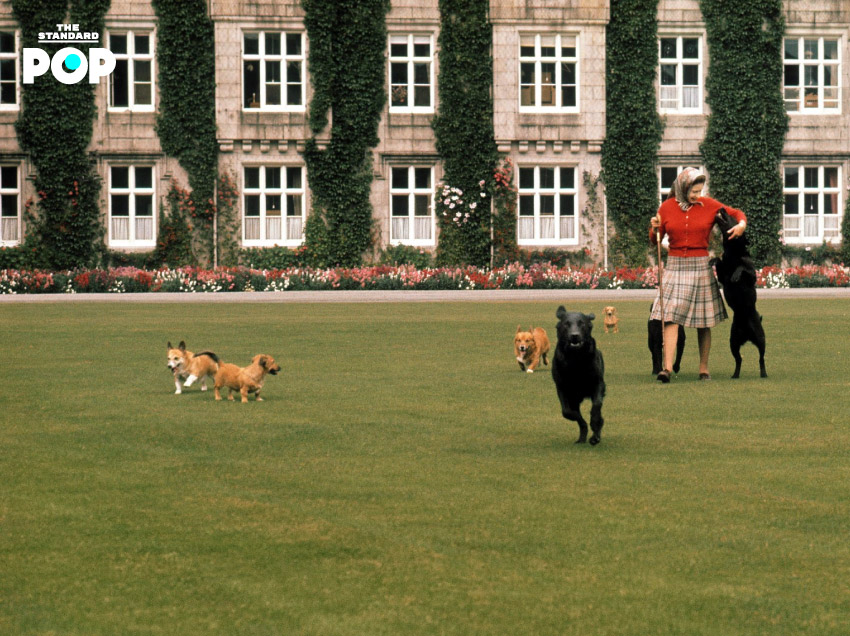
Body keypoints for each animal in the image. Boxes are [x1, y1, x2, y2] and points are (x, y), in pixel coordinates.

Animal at [548, 306, 604, 444]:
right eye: (566, 324)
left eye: (581, 323)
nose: (575, 336)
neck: (576, 359)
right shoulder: (562, 388)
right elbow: (568, 412)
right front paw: (581, 422)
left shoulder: (598, 383)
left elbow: (596, 406)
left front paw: (595, 427)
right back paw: (582, 438)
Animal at [712, 209, 764, 378]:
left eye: (733, 219)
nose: (722, 208)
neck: (732, 252)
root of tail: (747, 336)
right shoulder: (722, 276)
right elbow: (718, 260)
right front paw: (712, 261)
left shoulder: (752, 275)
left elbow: (743, 267)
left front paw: (736, 275)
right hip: (733, 342)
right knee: (739, 359)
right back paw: (735, 375)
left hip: (761, 339)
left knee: (761, 359)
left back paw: (764, 374)